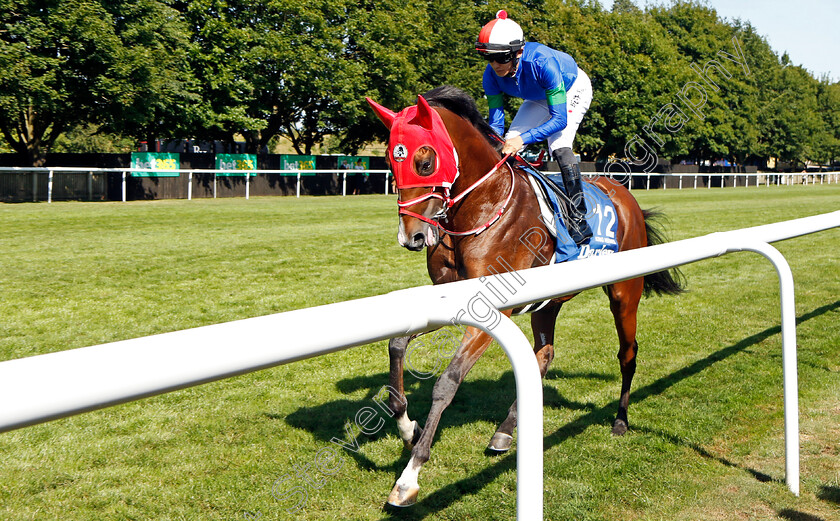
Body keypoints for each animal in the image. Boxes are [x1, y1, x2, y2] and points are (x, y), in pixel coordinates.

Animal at [366, 86, 684, 508]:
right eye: (390, 161)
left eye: (425, 160)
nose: (412, 236)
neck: (481, 208)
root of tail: (624, 193)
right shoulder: (449, 298)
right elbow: (397, 344)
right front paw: (406, 426)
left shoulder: (490, 311)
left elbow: (448, 381)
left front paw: (409, 476)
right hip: (548, 304)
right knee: (543, 355)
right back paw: (505, 430)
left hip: (624, 293)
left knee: (627, 354)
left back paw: (620, 420)